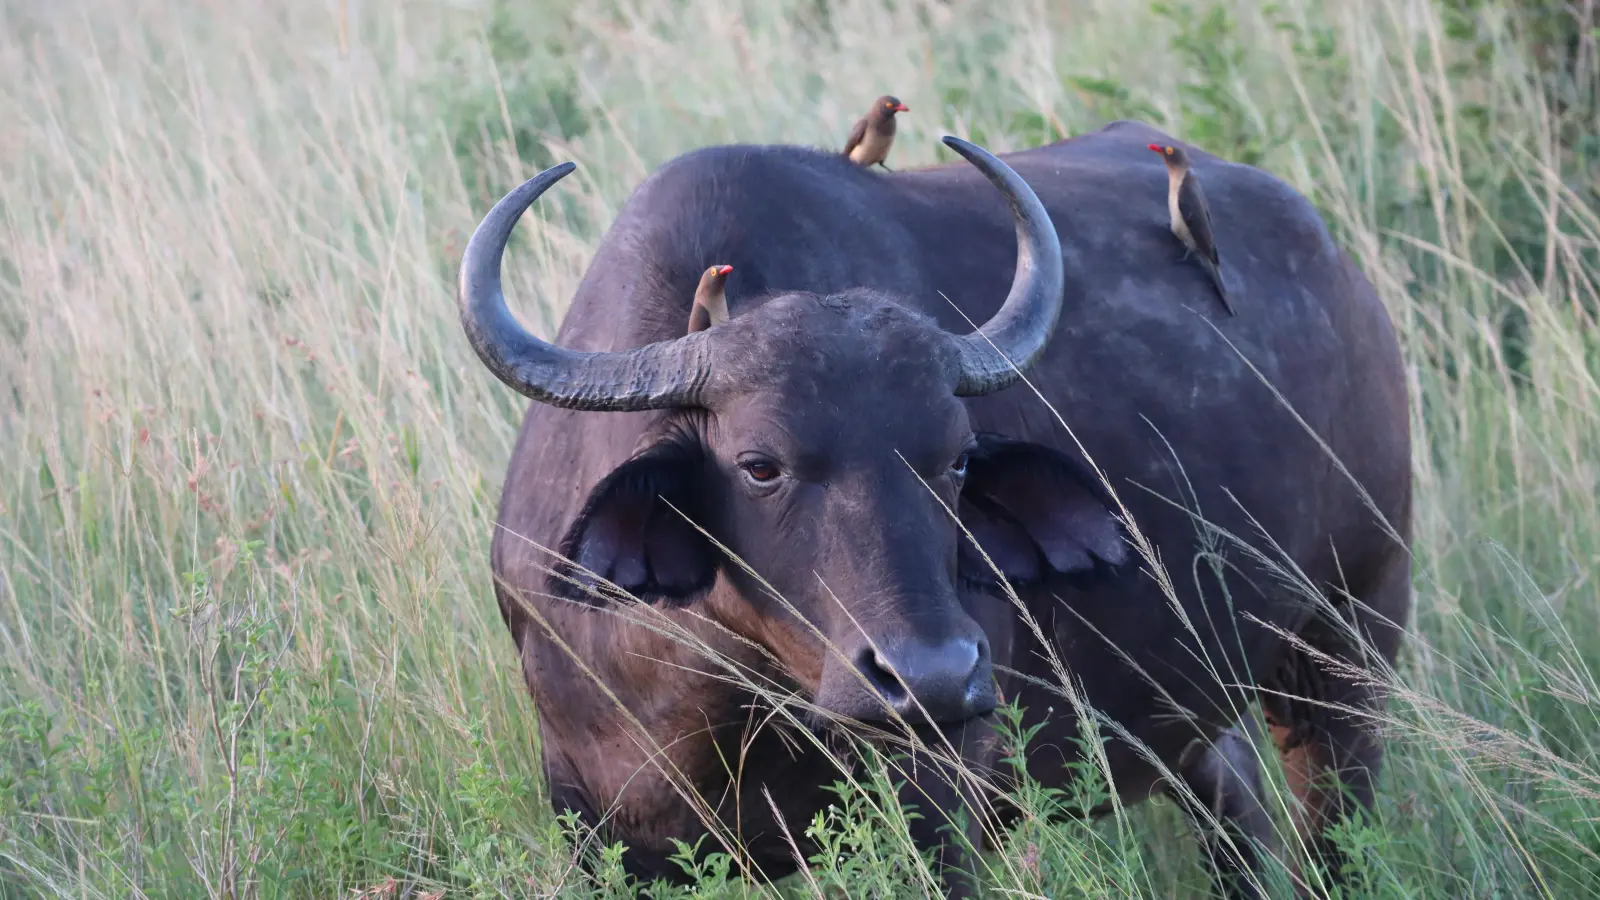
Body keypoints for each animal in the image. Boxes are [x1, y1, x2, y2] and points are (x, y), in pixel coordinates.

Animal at [460, 120, 1414, 896]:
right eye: (759, 465)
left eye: (954, 456)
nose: (935, 678)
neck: (707, 704)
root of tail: (1339, 271)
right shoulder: (594, 824)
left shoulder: (933, 812)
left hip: (1354, 630)